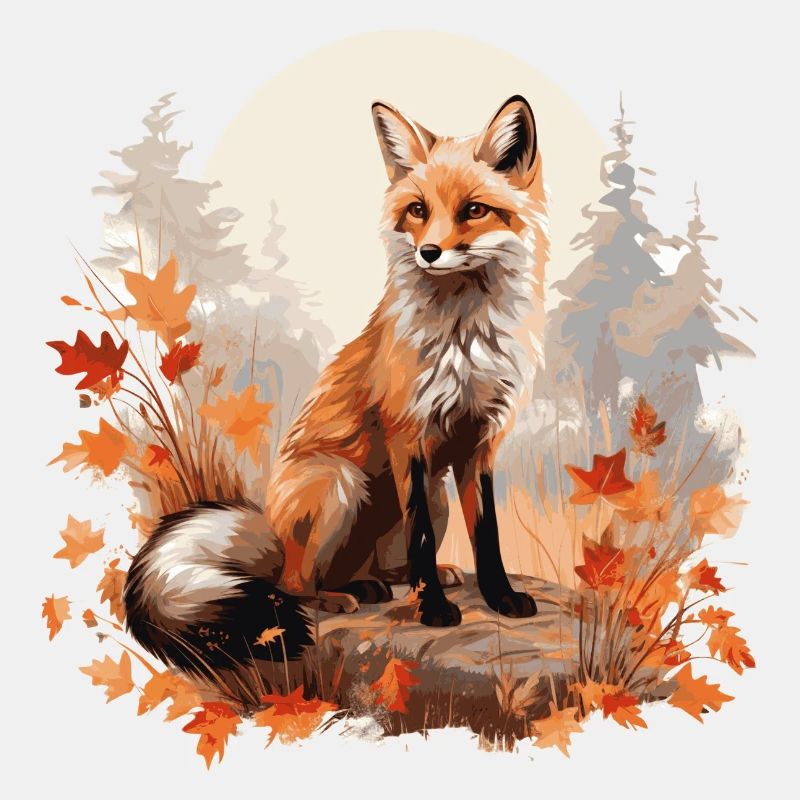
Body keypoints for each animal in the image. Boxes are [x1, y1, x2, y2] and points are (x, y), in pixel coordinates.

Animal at [124, 95, 548, 693]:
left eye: (473, 210)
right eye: (418, 210)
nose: (429, 252)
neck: (464, 340)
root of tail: (270, 531)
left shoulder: (481, 441)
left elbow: (485, 537)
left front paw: (501, 598)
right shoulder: (408, 434)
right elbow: (421, 537)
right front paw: (433, 612)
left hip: (433, 493)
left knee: (388, 567)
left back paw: (394, 580)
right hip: (337, 482)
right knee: (295, 586)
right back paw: (343, 595)